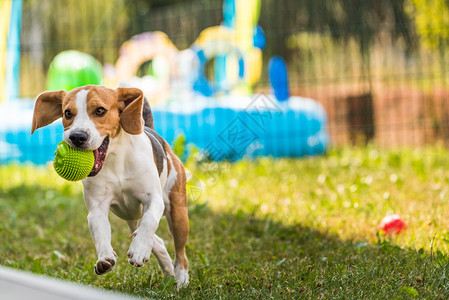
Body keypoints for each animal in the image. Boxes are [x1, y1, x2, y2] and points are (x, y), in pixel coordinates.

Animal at [31, 85, 189, 288]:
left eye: (100, 111)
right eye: (67, 113)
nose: (77, 137)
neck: (115, 160)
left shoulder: (153, 199)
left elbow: (150, 221)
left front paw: (139, 250)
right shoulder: (97, 209)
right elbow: (100, 234)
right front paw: (105, 259)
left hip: (178, 213)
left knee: (180, 251)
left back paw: (181, 279)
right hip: (132, 217)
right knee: (156, 241)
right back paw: (168, 272)